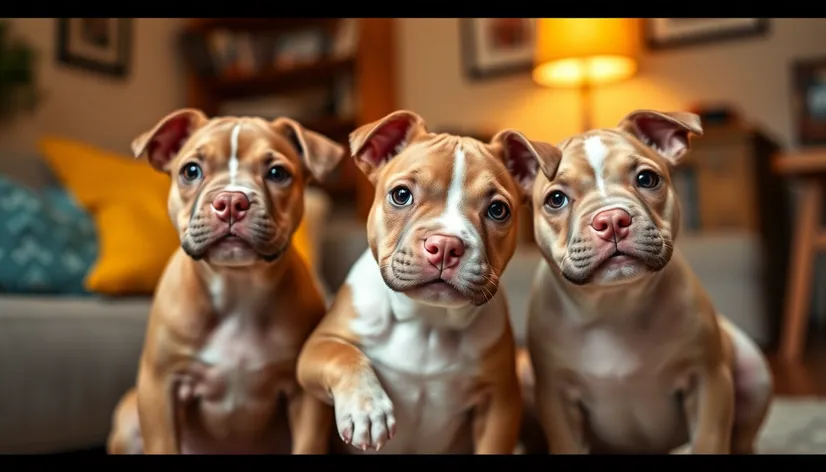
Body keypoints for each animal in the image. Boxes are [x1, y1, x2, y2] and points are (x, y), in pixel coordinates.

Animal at [107, 108, 344, 454]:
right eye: (191, 171)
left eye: (277, 173)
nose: (231, 201)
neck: (237, 284)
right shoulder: (159, 386)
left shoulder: (307, 399)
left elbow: (307, 446)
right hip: (128, 414)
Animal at [292, 109, 556, 454]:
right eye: (401, 195)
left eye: (498, 210)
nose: (444, 245)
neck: (428, 317)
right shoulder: (315, 349)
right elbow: (343, 355)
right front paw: (367, 407)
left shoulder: (500, 402)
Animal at [520, 109, 772, 454]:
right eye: (556, 199)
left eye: (646, 179)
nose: (611, 219)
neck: (615, 304)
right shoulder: (557, 401)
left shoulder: (708, 382)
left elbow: (708, 441)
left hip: (754, 371)